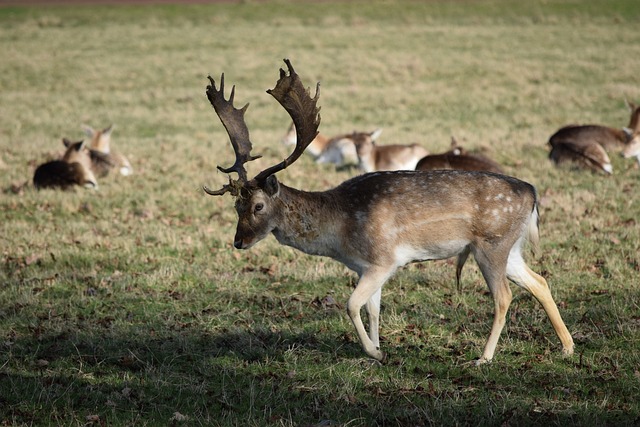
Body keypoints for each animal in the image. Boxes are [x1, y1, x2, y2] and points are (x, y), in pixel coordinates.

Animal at [205, 60, 576, 366]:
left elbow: (351, 304)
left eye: (258, 206)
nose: (239, 242)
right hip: (509, 247)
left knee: (504, 297)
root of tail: (532, 192)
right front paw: (379, 348)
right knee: (540, 281)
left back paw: (483, 358)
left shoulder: (385, 259)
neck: (340, 232)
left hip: (491, 244)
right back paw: (567, 347)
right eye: (236, 205)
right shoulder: (366, 266)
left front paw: (374, 351)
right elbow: (372, 308)